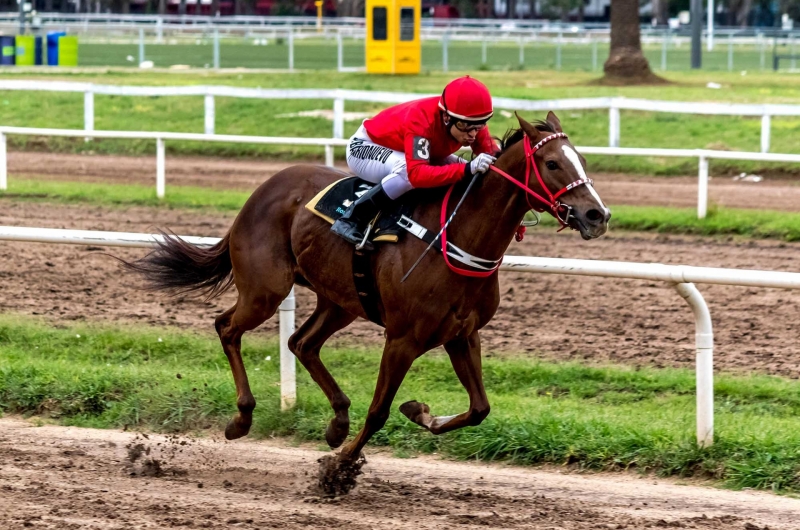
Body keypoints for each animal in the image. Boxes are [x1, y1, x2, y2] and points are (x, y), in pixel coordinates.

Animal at [126, 111, 612, 490]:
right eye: (552, 163)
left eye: (583, 161)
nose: (597, 214)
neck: (454, 237)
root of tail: (263, 189)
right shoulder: (402, 339)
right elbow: (379, 412)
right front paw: (339, 471)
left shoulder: (462, 334)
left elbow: (479, 409)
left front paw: (419, 412)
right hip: (266, 289)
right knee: (227, 327)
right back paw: (242, 419)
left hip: (339, 299)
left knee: (301, 343)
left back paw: (337, 422)